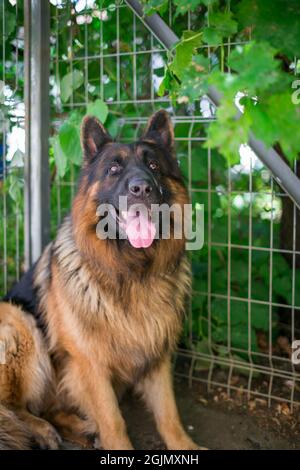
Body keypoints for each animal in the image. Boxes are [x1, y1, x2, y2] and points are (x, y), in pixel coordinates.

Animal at [1, 111, 200, 452]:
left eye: (154, 166)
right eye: (113, 169)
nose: (142, 189)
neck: (132, 273)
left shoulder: (156, 354)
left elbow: (169, 414)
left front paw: (185, 446)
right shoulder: (89, 363)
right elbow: (113, 420)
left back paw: (78, 428)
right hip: (19, 323)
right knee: (12, 407)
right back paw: (41, 429)